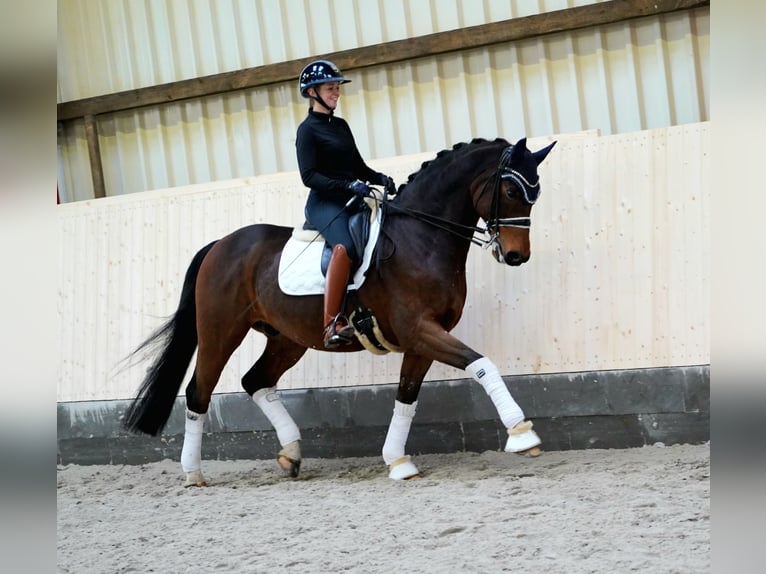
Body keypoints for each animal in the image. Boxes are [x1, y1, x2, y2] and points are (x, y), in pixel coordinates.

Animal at [123, 136, 556, 486]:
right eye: (511, 189)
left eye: (535, 193)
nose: (516, 256)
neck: (421, 238)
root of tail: (219, 244)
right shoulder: (419, 330)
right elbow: (481, 364)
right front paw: (522, 434)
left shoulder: (422, 338)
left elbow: (407, 396)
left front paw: (397, 461)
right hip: (221, 331)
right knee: (199, 391)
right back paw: (193, 473)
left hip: (288, 338)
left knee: (255, 380)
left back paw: (290, 455)